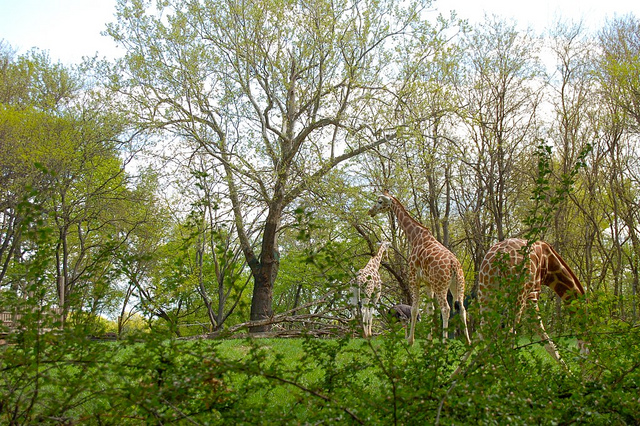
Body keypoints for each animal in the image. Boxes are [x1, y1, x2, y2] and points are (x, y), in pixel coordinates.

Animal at [369, 191, 471, 345]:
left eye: (380, 201)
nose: (371, 211)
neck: (415, 236)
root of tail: (454, 265)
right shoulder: (428, 282)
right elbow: (430, 309)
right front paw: (429, 341)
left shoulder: (413, 277)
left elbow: (415, 309)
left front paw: (410, 340)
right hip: (457, 284)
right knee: (462, 308)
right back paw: (468, 342)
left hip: (441, 285)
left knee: (446, 308)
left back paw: (444, 343)